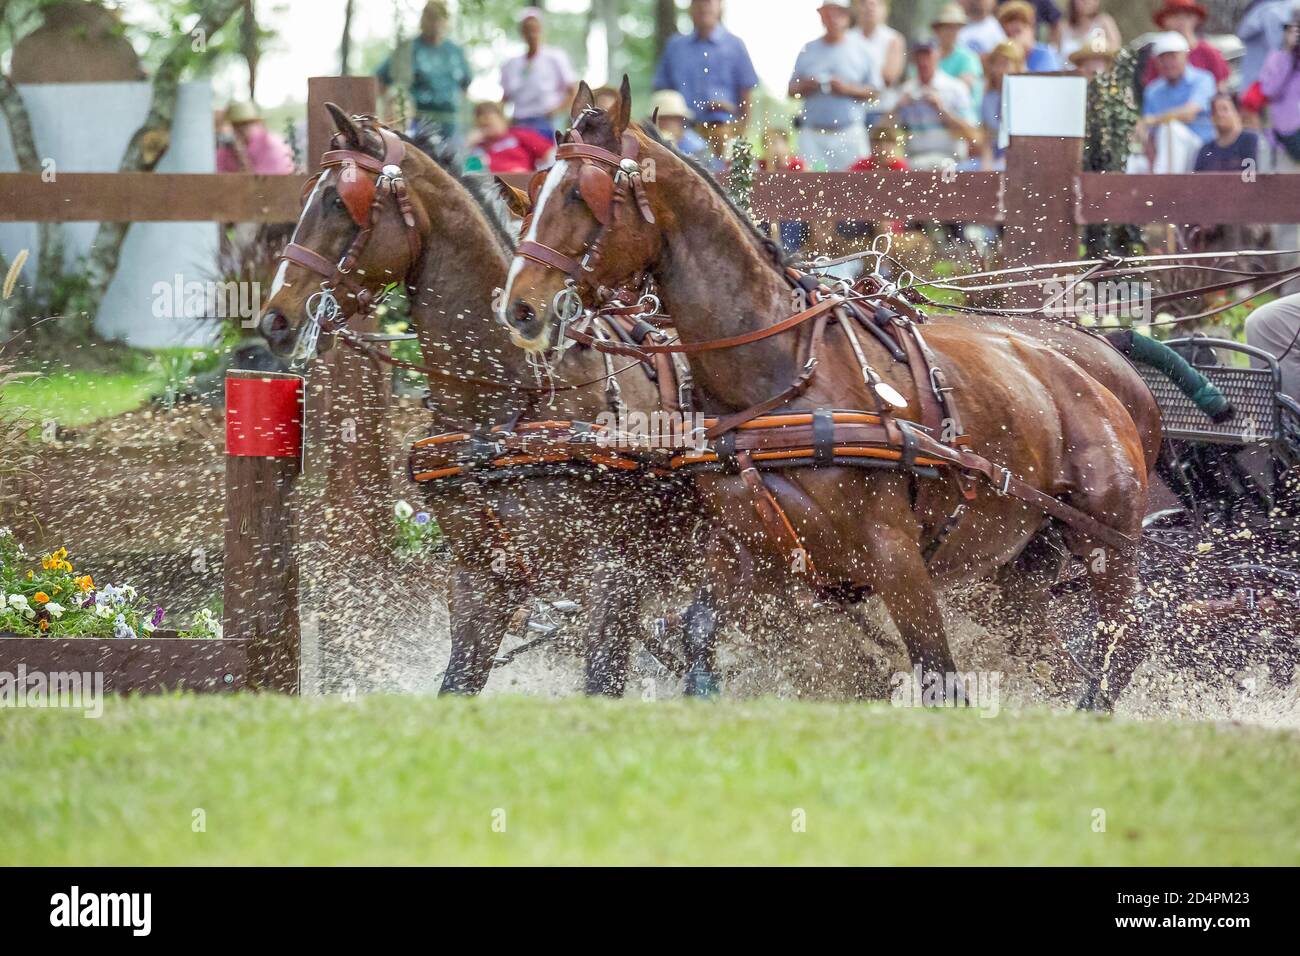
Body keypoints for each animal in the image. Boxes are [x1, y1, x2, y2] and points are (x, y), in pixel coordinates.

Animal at [256, 106, 702, 697]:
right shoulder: (481, 579)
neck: (511, 400)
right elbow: (457, 685)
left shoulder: (615, 578)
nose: (274, 319)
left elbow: (602, 682)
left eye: (337, 201)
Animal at [493, 83, 1159, 712]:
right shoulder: (751, 550)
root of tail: (1105, 374)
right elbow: (699, 631)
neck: (778, 374)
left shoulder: (895, 555)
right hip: (1018, 566)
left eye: (580, 193)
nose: (519, 306)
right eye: (535, 189)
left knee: (1122, 644)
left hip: (1107, 541)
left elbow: (939, 676)